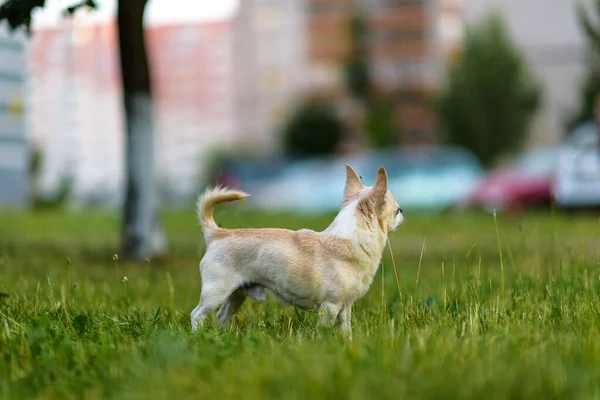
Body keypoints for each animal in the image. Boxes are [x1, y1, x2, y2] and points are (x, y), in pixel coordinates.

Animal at [191, 164, 404, 336]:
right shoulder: (330, 306)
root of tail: (217, 233)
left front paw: (346, 342)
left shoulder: (345, 307)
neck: (348, 238)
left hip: (236, 295)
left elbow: (345, 328)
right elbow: (324, 328)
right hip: (216, 292)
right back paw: (197, 337)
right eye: (397, 210)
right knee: (197, 314)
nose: (403, 212)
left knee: (221, 316)